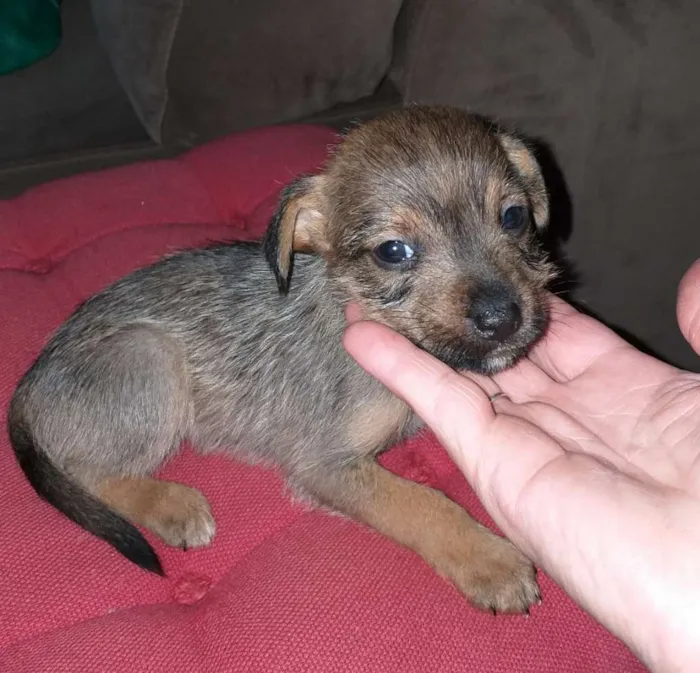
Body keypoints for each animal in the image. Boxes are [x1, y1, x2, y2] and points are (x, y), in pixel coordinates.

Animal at [8, 105, 556, 616]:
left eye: (513, 217)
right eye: (393, 251)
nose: (502, 317)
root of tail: (29, 382)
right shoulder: (324, 462)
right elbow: (422, 501)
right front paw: (490, 562)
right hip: (150, 354)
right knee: (87, 473)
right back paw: (172, 505)